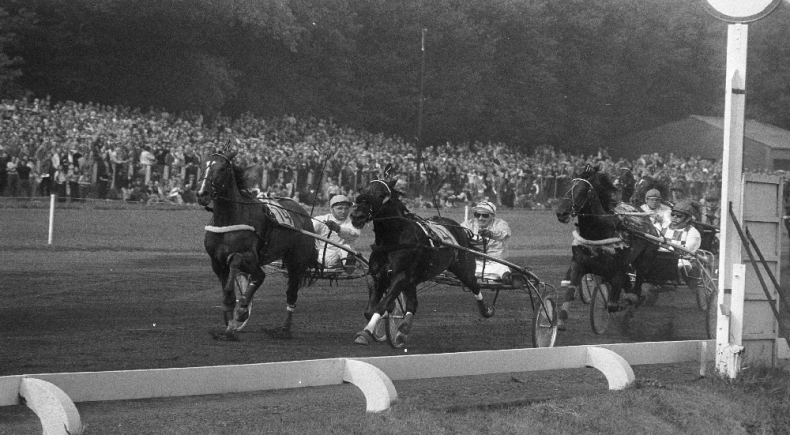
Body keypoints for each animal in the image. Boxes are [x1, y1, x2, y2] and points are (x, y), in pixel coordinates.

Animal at [196, 150, 318, 340]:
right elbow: (228, 290)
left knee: (290, 292)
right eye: (201, 165)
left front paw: (241, 310)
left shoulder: (249, 256)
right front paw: (229, 326)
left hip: (296, 261)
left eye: (222, 168)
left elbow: (239, 263)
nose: (202, 193)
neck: (229, 219)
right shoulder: (216, 262)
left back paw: (284, 329)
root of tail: (303, 212)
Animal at [348, 175, 492, 346]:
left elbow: (381, 307)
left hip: (462, 267)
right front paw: (379, 325)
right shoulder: (379, 277)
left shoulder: (400, 277)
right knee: (413, 304)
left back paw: (486, 310)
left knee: (474, 285)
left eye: (381, 195)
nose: (357, 216)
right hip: (413, 280)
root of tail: (459, 228)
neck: (393, 239)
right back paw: (402, 333)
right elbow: (370, 311)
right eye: (362, 191)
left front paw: (366, 332)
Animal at [556, 168, 664, 314]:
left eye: (582, 190)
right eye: (567, 188)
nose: (561, 213)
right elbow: (569, 295)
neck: (598, 232)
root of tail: (650, 225)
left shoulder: (617, 270)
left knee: (636, 289)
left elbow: (613, 304)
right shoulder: (579, 263)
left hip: (645, 260)